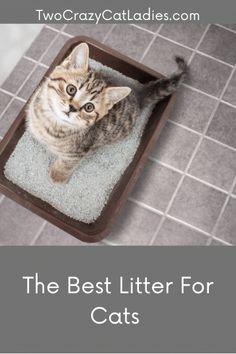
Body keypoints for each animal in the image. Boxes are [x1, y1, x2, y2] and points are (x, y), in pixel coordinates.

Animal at [26, 42, 187, 184]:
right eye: (71, 89)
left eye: (89, 107)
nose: (72, 108)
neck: (50, 121)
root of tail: (137, 95)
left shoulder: (78, 152)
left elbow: (67, 163)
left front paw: (58, 176)